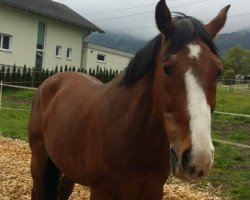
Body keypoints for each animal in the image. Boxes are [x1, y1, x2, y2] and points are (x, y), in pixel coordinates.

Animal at [28, 0, 229, 199]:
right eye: (166, 68)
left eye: (218, 71)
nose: (199, 157)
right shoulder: (101, 192)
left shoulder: (153, 191)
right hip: (39, 158)